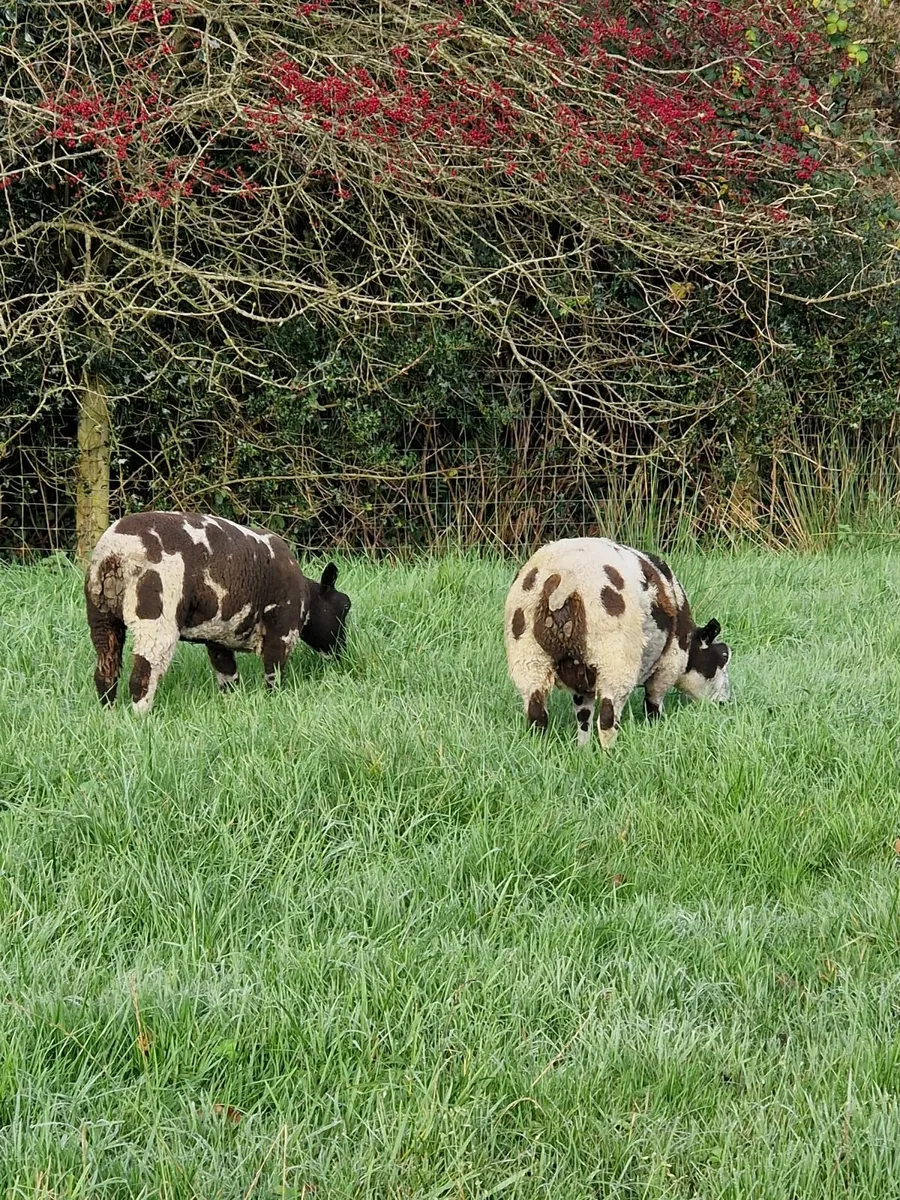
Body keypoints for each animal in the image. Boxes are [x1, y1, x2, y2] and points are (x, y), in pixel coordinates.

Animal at [85, 511, 351, 713]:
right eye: (346, 607)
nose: (343, 653)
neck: (307, 600)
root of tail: (115, 554)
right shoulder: (282, 632)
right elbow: (273, 675)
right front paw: (273, 702)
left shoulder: (217, 639)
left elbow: (228, 678)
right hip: (155, 620)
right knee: (142, 677)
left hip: (101, 618)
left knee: (105, 675)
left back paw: (109, 717)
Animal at [504, 537, 730, 747]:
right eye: (724, 656)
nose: (725, 703)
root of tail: (564, 580)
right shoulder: (669, 664)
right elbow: (653, 702)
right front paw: (656, 729)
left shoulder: (582, 680)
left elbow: (583, 716)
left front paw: (583, 750)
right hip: (614, 657)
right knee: (607, 719)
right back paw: (611, 755)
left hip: (529, 657)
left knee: (537, 716)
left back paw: (538, 749)